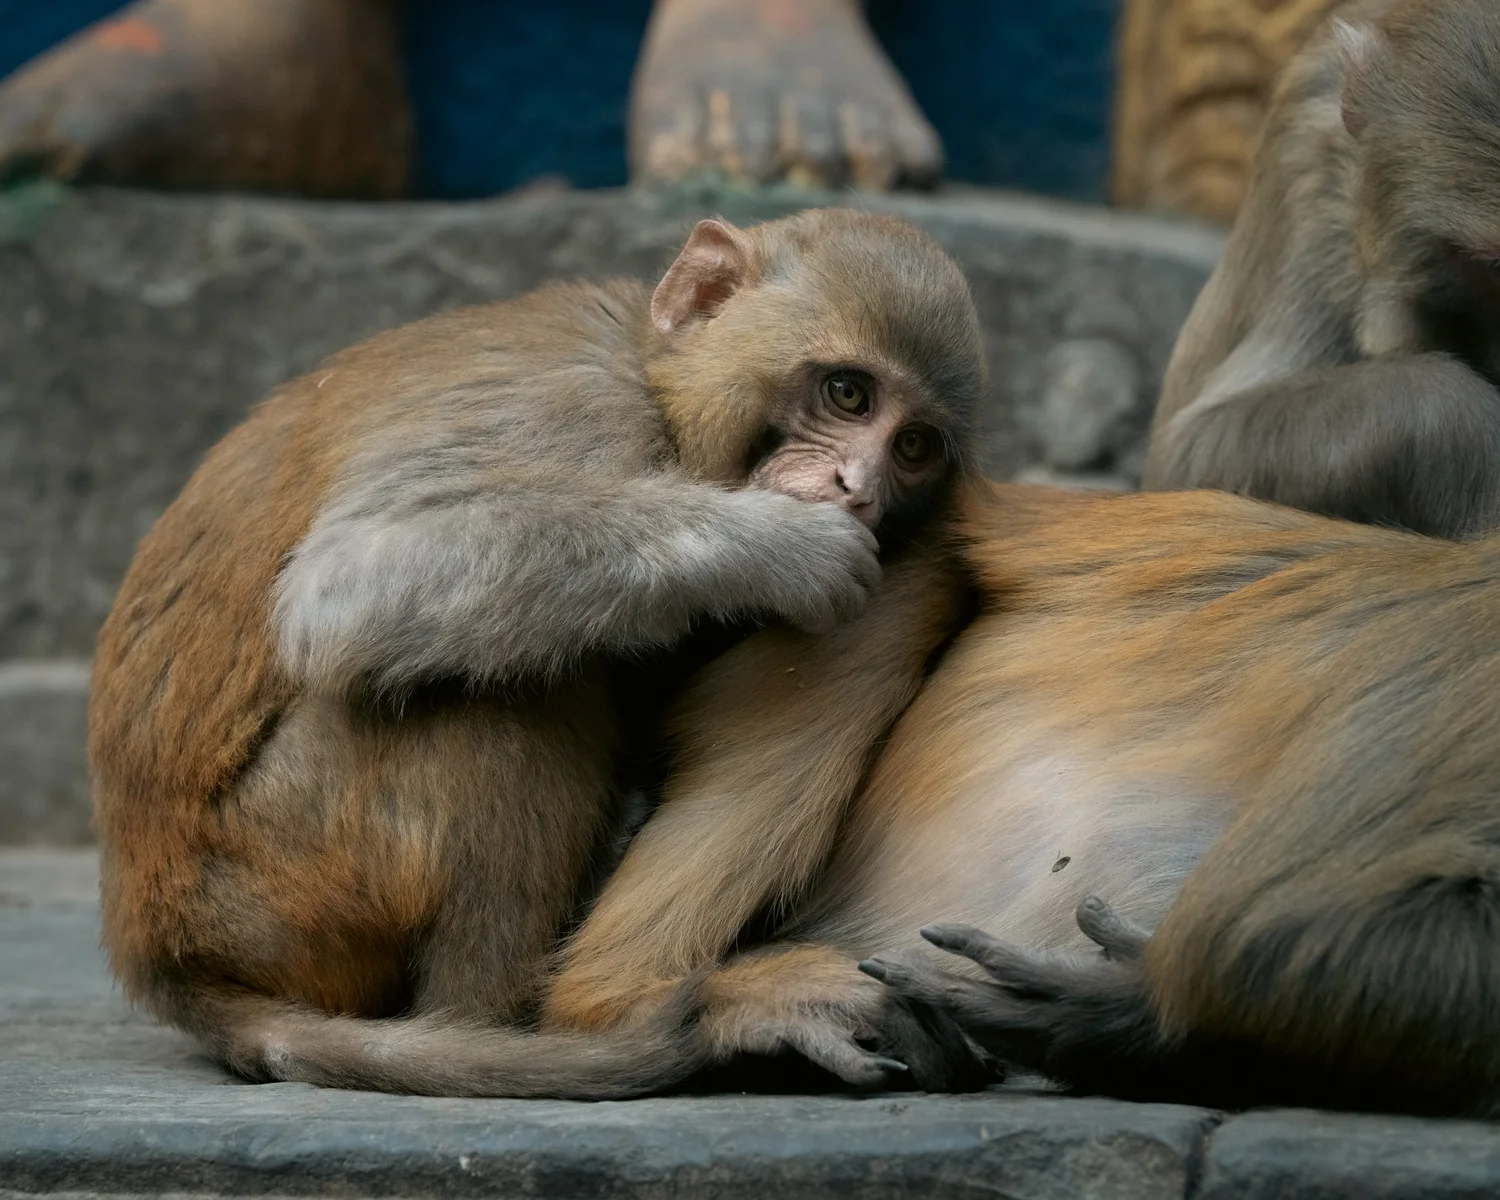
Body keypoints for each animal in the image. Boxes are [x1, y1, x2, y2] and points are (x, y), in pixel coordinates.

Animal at [88, 206, 986, 1098]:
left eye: (911, 447)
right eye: (847, 394)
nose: (857, 490)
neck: (658, 393)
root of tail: (159, 950)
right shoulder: (574, 411)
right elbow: (346, 586)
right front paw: (780, 548)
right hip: (282, 876)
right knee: (499, 691)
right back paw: (511, 1027)